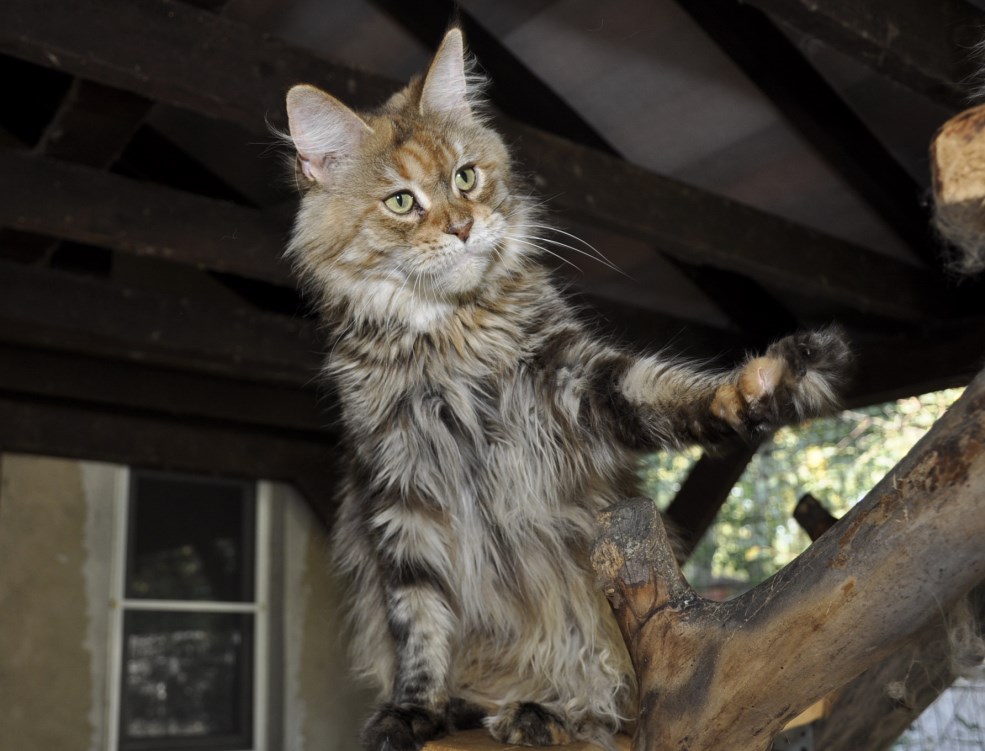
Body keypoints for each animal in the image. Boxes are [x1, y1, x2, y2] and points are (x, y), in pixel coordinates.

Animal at [283, 28, 851, 751]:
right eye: (402, 202)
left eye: (465, 177)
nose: (463, 227)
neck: (450, 339)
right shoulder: (396, 488)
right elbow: (418, 619)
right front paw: (414, 708)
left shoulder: (578, 381)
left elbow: (672, 392)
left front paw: (762, 385)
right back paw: (479, 708)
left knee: (611, 702)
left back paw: (543, 715)